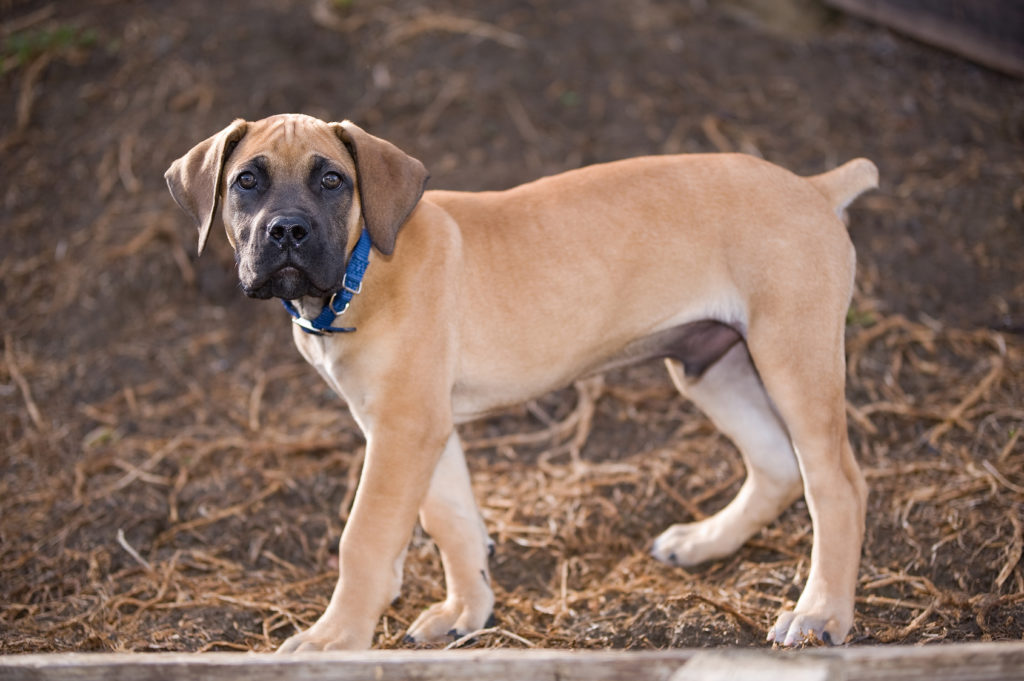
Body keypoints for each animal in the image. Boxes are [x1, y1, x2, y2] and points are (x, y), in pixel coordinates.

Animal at [163, 114, 876, 651]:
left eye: (333, 179)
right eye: (246, 182)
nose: (286, 230)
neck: (365, 265)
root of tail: (814, 188)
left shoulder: (403, 430)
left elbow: (364, 539)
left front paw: (334, 639)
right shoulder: (421, 427)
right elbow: (453, 522)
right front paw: (466, 611)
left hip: (791, 357)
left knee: (836, 482)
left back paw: (820, 613)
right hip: (710, 364)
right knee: (777, 464)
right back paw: (706, 542)